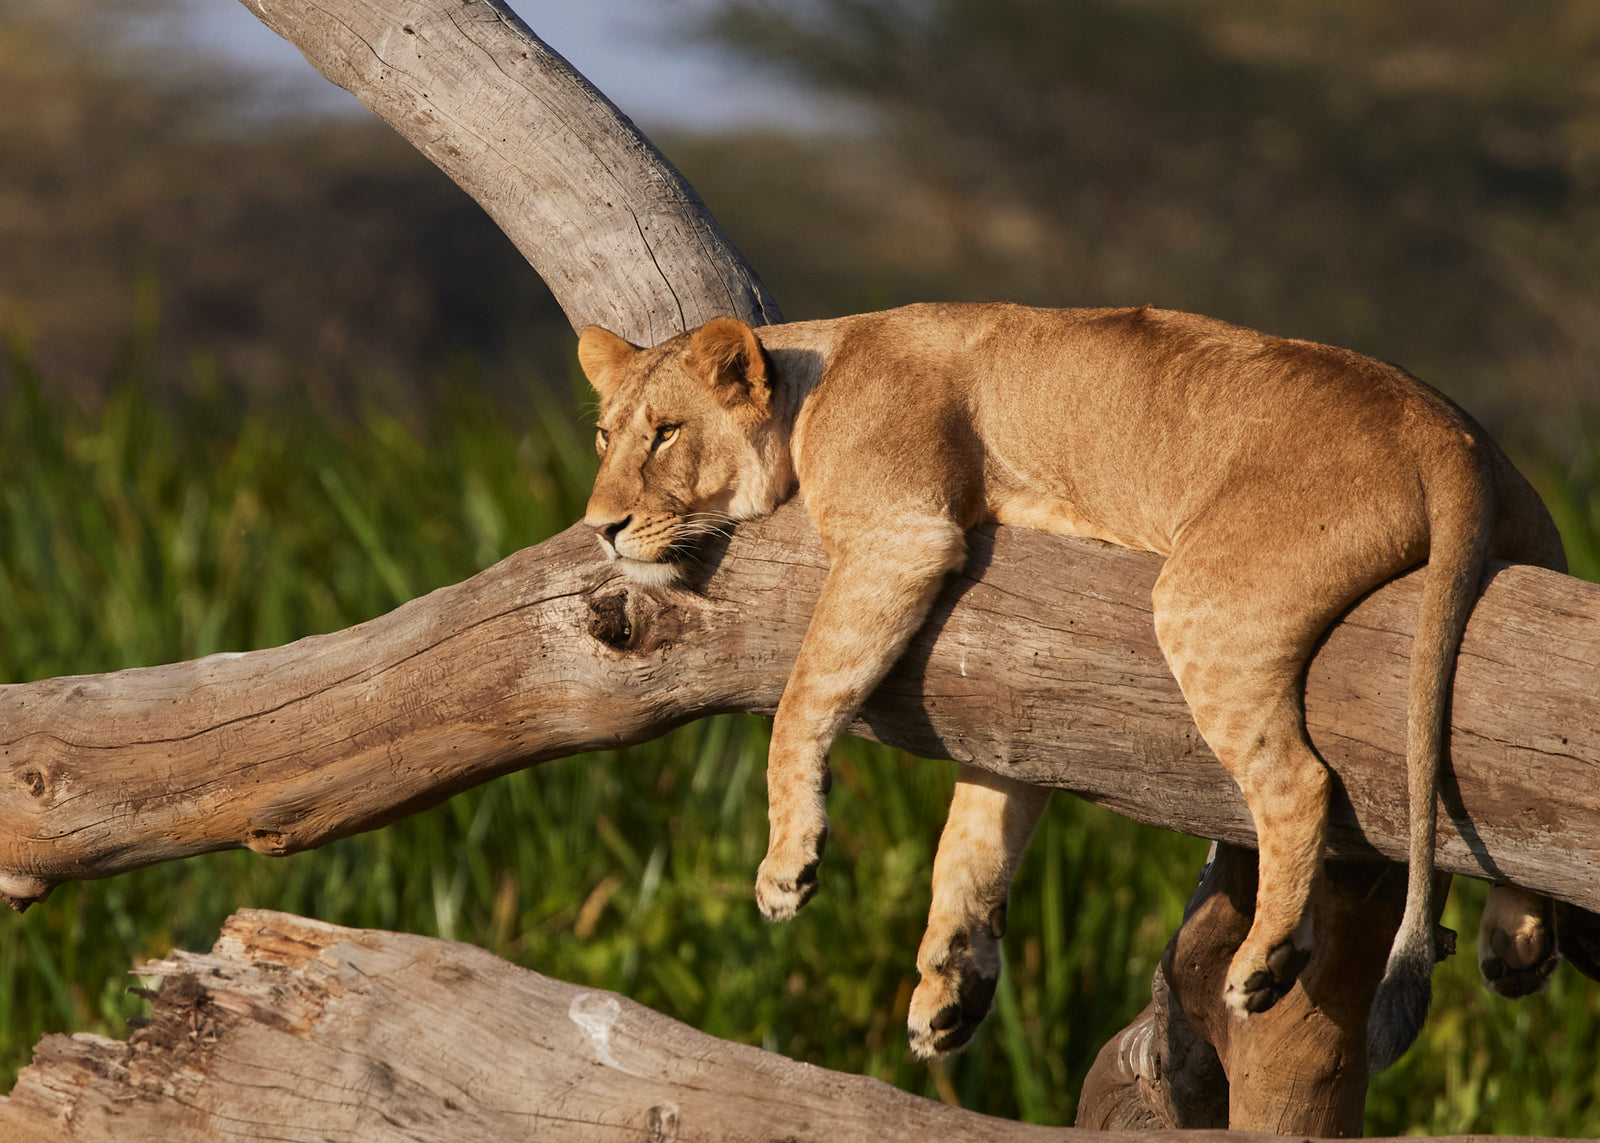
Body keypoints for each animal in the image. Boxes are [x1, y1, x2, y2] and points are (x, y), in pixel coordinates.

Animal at [577, 301, 1586, 1069]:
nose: (600, 526)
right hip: (1540, 556)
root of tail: (1446, 428)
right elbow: (973, 834)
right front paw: (949, 985)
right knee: (1529, 804)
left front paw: (787, 867)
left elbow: (799, 702)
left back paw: (1265, 956)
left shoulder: (901, 533)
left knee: (1302, 781)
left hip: (1202, 595)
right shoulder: (1005, 712)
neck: (808, 385)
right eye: (602, 436)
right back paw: (1517, 944)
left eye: (664, 434)